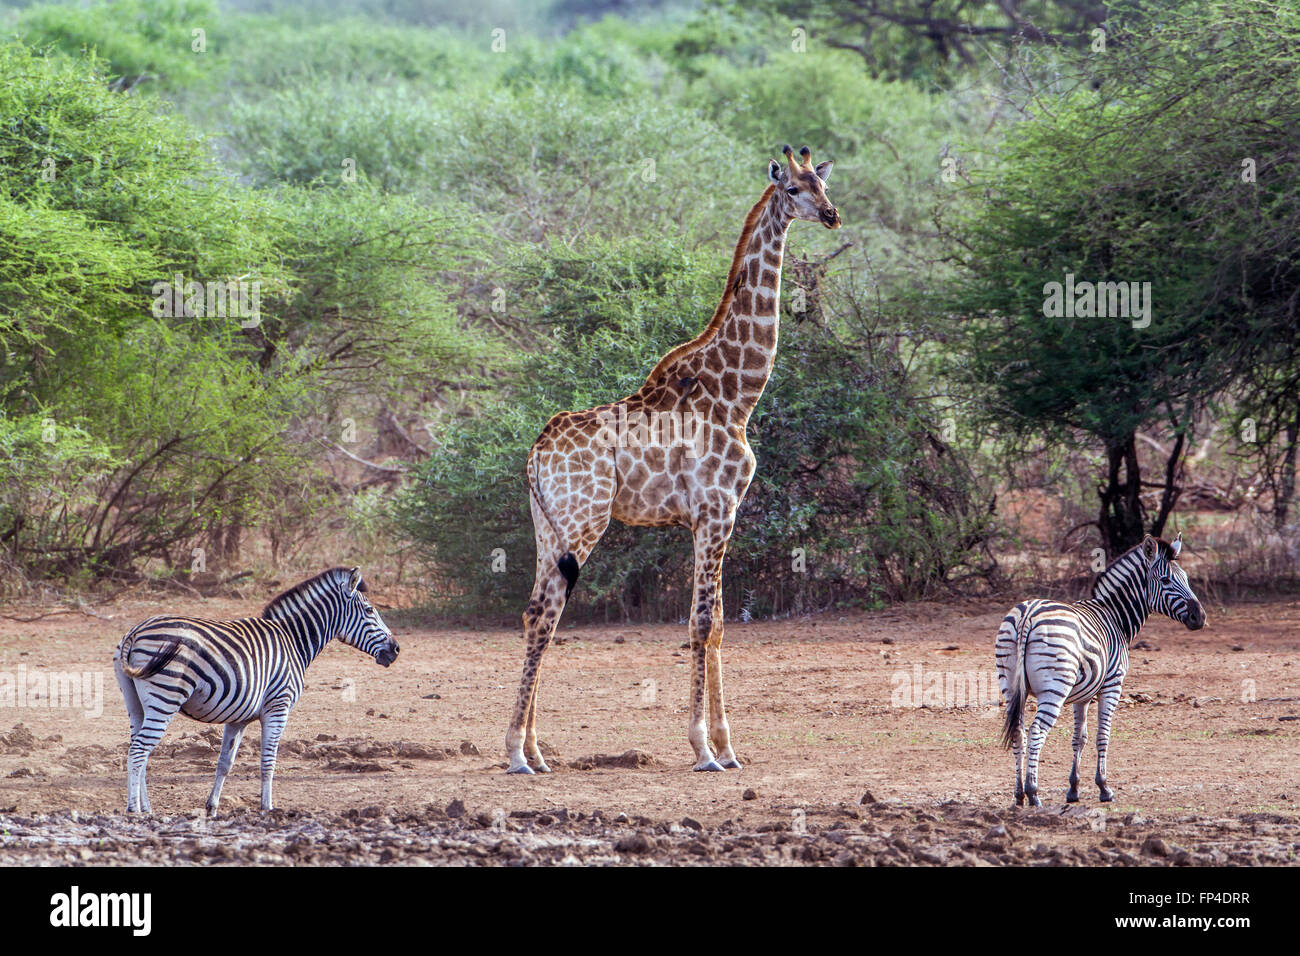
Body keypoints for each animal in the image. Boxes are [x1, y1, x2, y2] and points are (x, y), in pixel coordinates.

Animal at [112, 566, 399, 815]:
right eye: (370, 610)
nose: (396, 649)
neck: (293, 640)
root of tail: (135, 631)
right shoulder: (278, 707)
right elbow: (268, 762)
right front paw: (267, 808)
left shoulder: (238, 717)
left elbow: (224, 763)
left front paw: (212, 807)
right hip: (166, 697)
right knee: (139, 751)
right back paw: (134, 810)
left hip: (135, 703)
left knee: (139, 750)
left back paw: (147, 808)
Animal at [506, 144, 840, 774]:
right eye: (792, 189)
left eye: (823, 183)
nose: (832, 215)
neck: (737, 394)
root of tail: (535, 453)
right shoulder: (714, 511)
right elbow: (702, 622)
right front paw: (704, 749)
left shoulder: (719, 516)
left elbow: (720, 626)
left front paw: (729, 748)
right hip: (585, 521)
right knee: (548, 612)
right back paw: (515, 752)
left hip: (547, 525)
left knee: (535, 610)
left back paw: (534, 751)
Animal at [996, 533, 1205, 807]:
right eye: (1165, 580)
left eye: (1187, 579)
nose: (1200, 617)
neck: (1115, 616)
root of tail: (1027, 615)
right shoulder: (1113, 684)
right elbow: (1102, 735)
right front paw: (1104, 787)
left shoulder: (1082, 695)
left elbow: (1079, 737)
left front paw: (1073, 789)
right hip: (1054, 688)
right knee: (1036, 731)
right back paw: (1033, 793)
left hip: (1010, 686)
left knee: (1018, 731)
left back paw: (1019, 794)